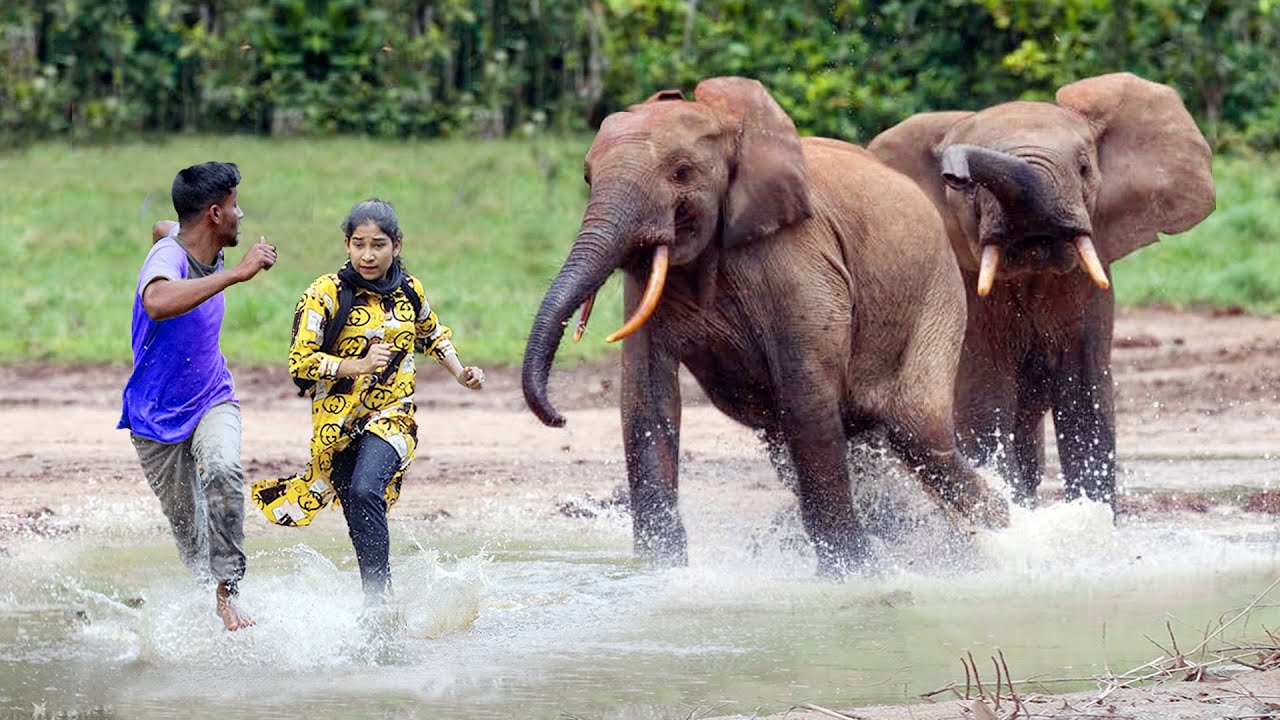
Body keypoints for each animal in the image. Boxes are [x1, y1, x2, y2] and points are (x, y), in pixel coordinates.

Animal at [522, 75, 1008, 573]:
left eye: (682, 172)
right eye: (587, 177)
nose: (559, 418)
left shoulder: (797, 257)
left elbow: (806, 394)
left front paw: (850, 573)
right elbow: (647, 396)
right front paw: (660, 571)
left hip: (938, 295)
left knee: (917, 430)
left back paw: (1000, 533)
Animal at [865, 73, 1213, 507]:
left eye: (1084, 167)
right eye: (967, 190)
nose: (954, 172)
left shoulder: (1089, 289)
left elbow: (1085, 403)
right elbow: (983, 403)